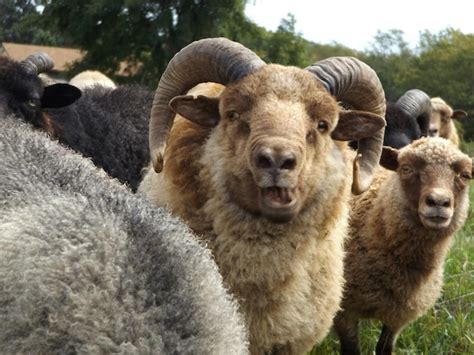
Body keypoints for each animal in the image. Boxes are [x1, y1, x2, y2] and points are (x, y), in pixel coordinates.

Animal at [336, 137, 472, 355]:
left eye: (465, 175)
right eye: (406, 168)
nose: (438, 202)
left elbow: (384, 348)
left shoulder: (399, 315)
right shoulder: (344, 311)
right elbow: (351, 350)